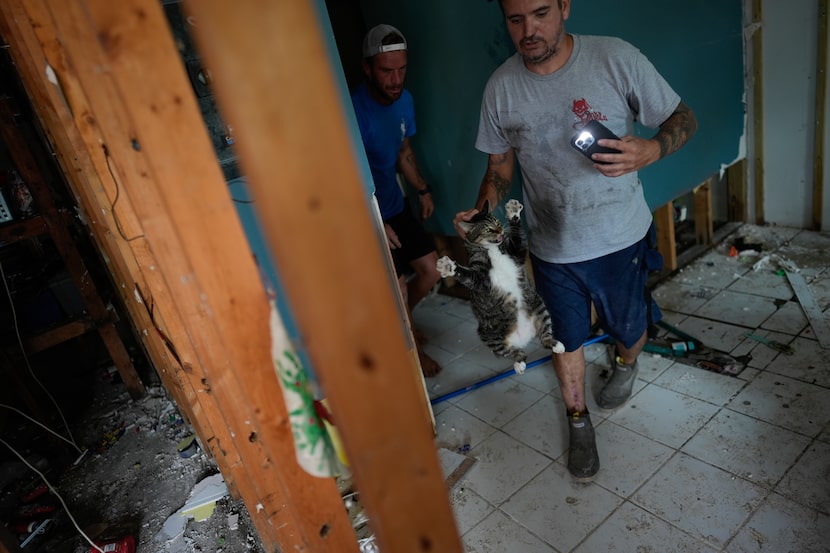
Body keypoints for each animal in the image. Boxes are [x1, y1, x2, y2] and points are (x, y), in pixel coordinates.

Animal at [436, 196, 564, 374]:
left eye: (496, 221)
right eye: (488, 229)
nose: (501, 231)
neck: (493, 250)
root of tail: (524, 338)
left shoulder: (516, 252)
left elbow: (518, 238)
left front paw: (513, 212)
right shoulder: (480, 279)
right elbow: (467, 275)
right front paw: (449, 267)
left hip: (539, 306)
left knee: (544, 336)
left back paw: (555, 344)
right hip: (490, 337)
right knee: (514, 352)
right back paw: (519, 364)